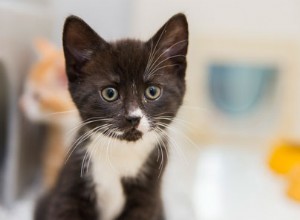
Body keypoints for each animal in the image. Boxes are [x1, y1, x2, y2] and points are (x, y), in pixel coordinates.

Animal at [34, 12, 188, 220]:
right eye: (110, 93)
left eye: (152, 91)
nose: (133, 117)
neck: (120, 153)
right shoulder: (69, 188)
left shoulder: (148, 199)